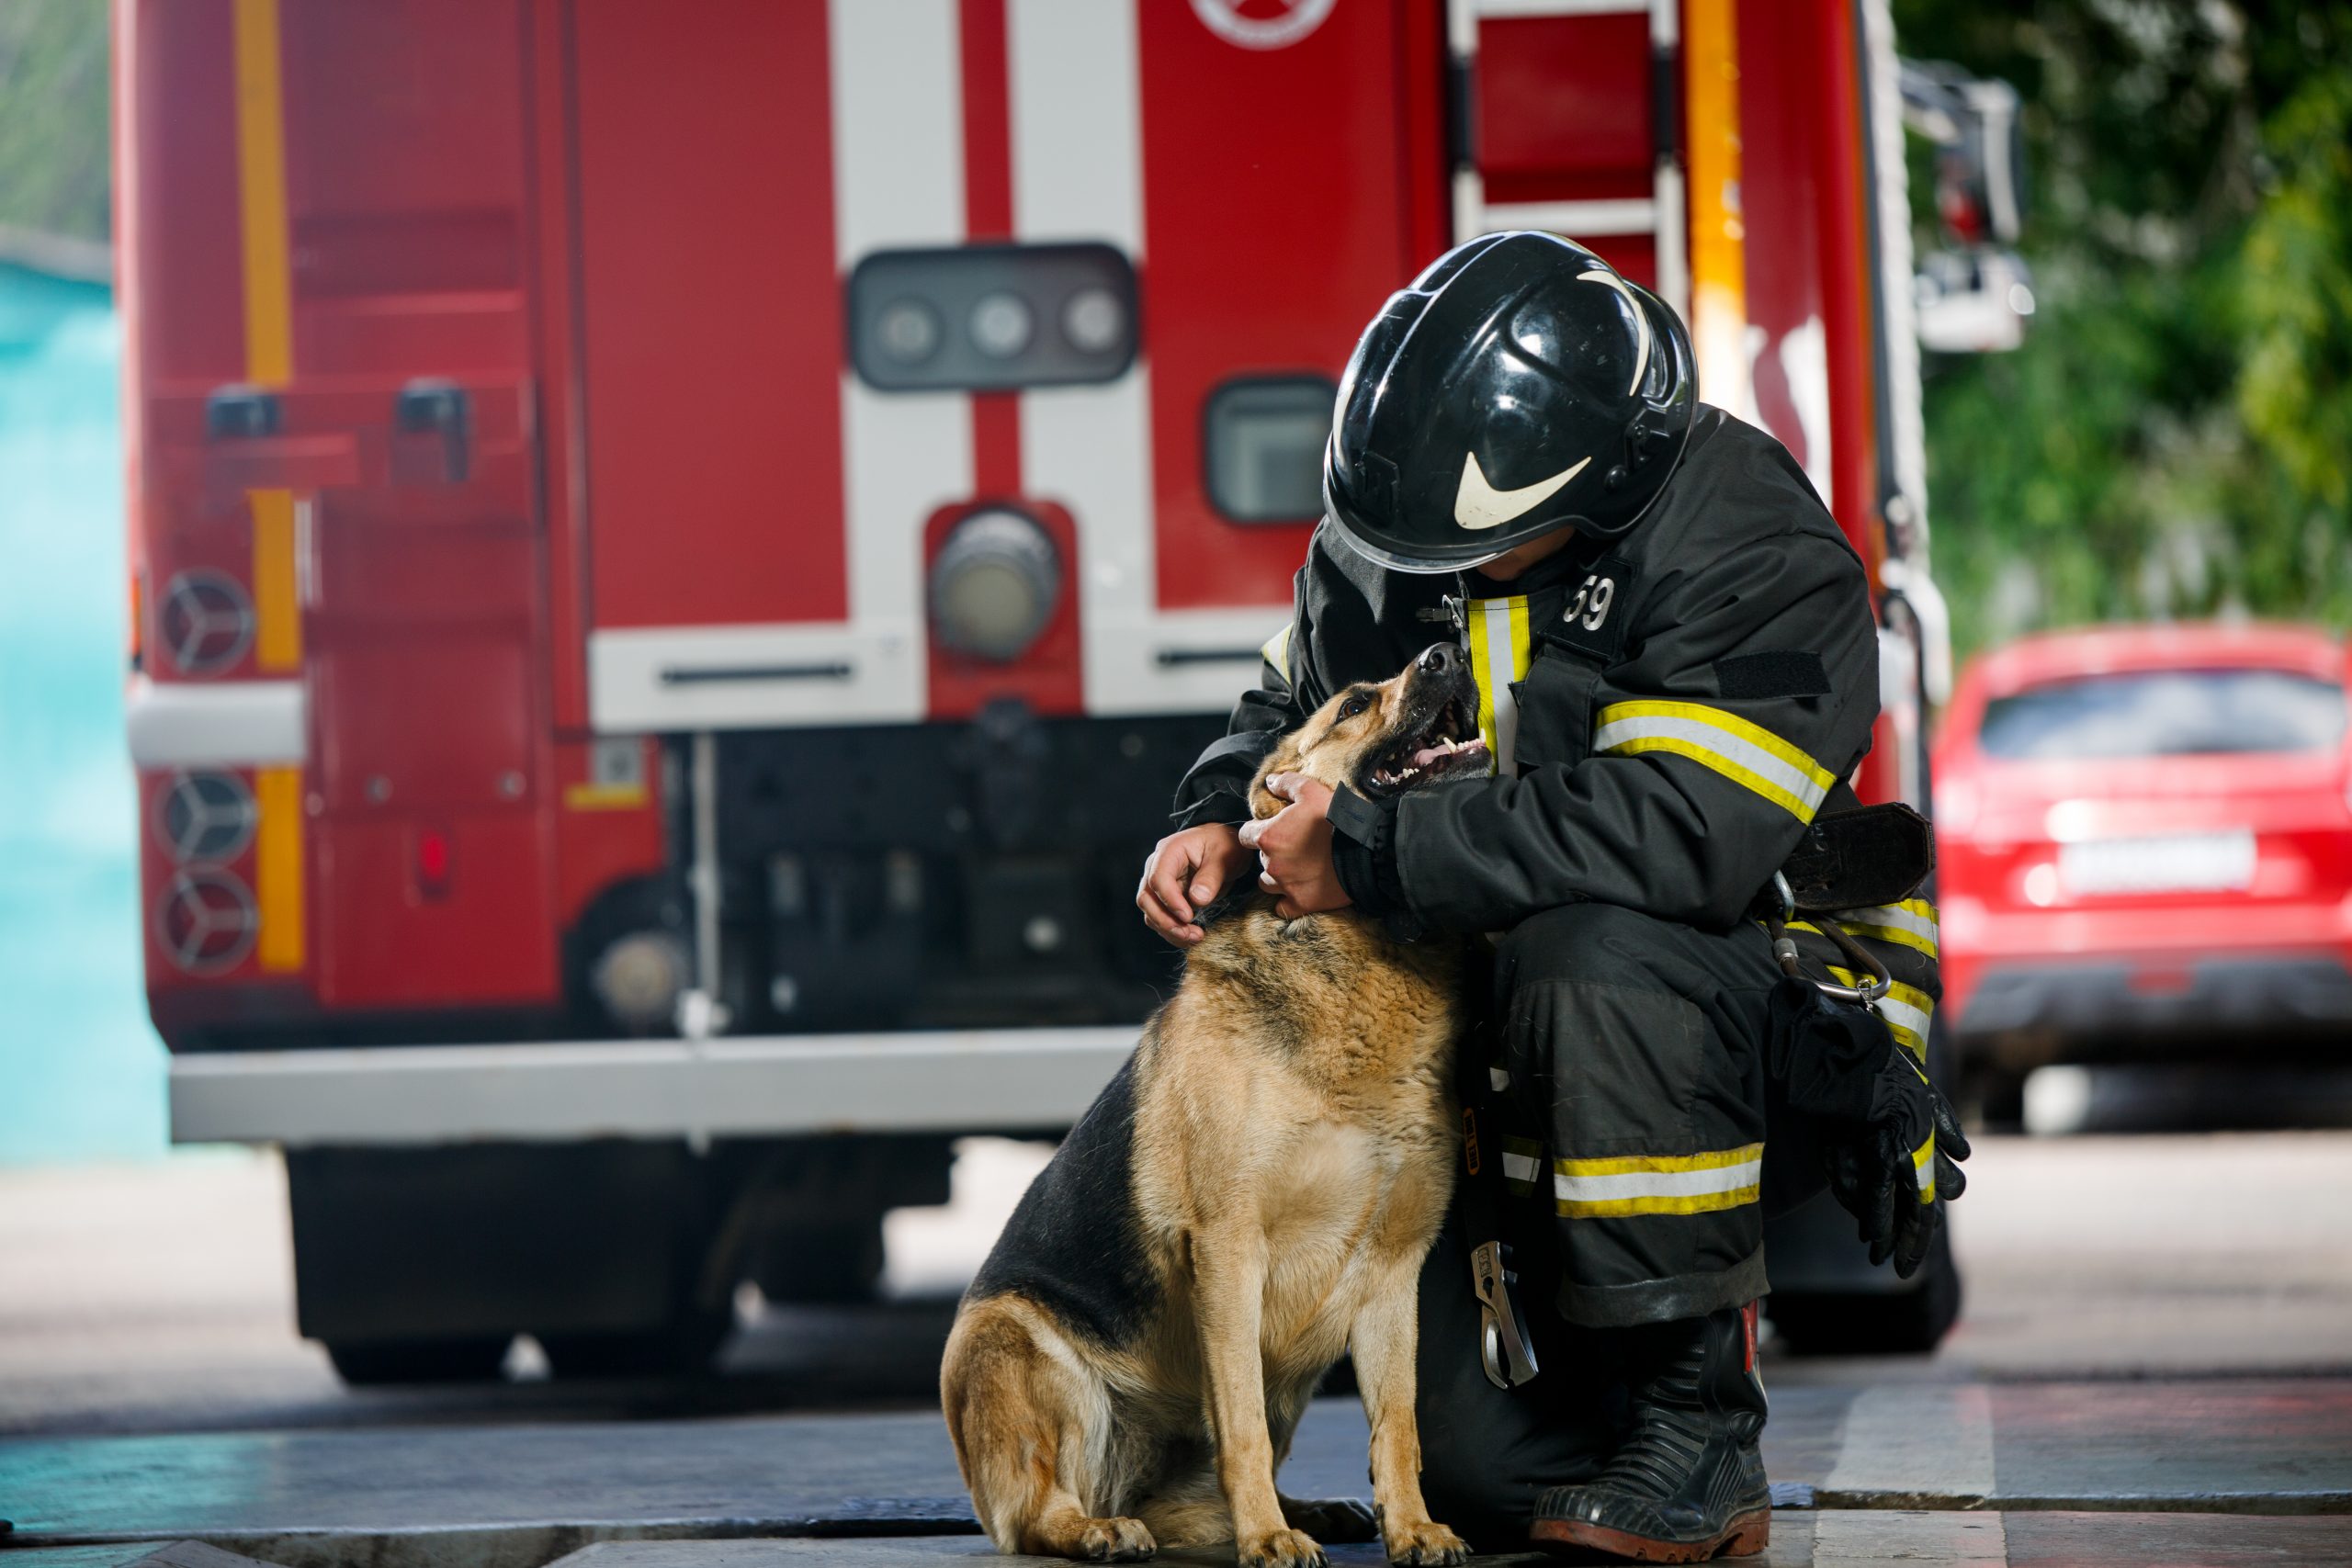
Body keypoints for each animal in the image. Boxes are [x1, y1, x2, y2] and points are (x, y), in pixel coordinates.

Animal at [935, 644, 1486, 1561]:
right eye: (1354, 703)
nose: (1446, 652)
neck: (1357, 958)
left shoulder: (1390, 1272)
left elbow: (1397, 1421)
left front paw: (1412, 1526)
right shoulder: (1229, 1249)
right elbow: (1242, 1424)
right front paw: (1267, 1539)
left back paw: (1299, 1509)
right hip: (1013, 1343)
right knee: (1034, 1513)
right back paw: (1104, 1527)